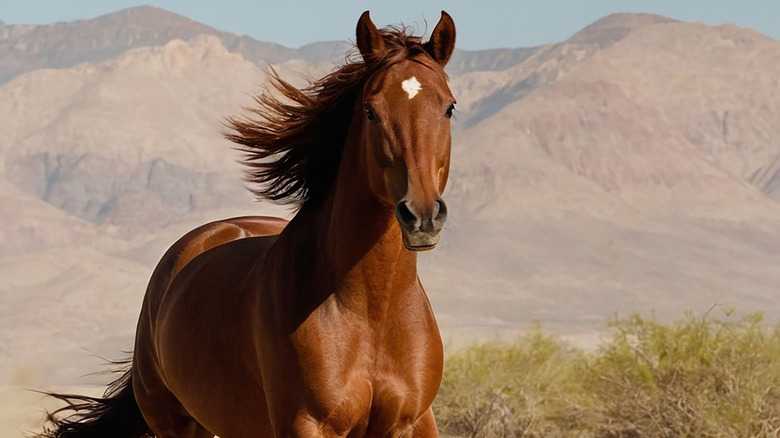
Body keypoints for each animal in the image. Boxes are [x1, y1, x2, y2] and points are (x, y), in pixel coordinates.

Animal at [39, 10, 456, 438]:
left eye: (449, 108)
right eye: (371, 111)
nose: (422, 216)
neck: (370, 313)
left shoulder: (406, 424)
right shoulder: (305, 424)